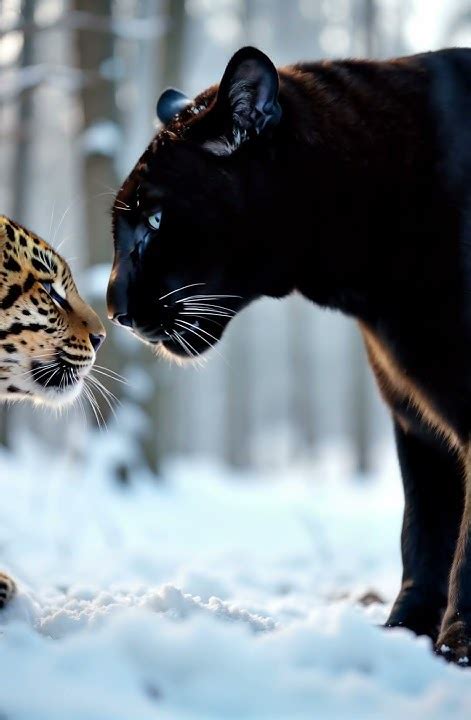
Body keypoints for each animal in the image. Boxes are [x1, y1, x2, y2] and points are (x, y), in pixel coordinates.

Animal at [106, 45, 471, 663]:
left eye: (155, 220)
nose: (114, 308)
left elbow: (465, 546)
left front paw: (459, 649)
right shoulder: (415, 421)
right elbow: (424, 533)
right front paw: (405, 636)